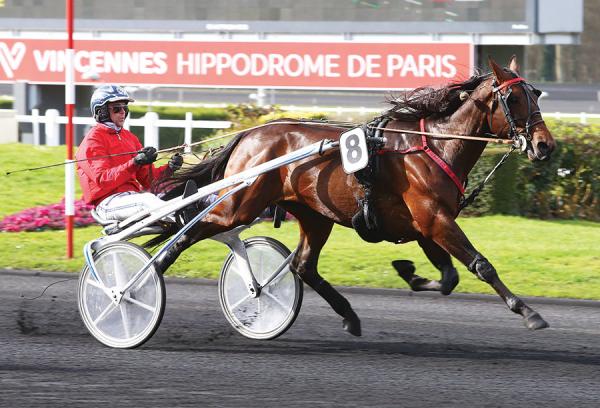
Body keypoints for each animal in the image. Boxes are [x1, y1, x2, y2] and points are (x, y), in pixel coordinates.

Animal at [152, 57, 556, 336]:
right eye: (513, 98)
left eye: (535, 93)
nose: (545, 145)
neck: (436, 145)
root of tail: (249, 134)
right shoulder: (434, 219)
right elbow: (480, 265)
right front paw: (529, 312)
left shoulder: (427, 224)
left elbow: (448, 278)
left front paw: (410, 274)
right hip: (238, 206)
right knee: (190, 231)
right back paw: (149, 277)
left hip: (313, 215)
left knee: (304, 266)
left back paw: (349, 315)